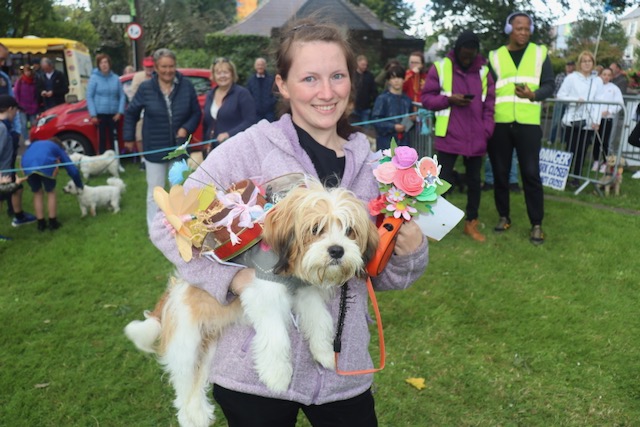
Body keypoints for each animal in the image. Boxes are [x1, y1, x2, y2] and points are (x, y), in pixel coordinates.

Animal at [122, 184, 378, 427]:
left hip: (209, 348)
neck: (288, 264)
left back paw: (199, 415)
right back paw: (188, 416)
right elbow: (276, 337)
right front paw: (277, 376)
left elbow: (320, 320)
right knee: (182, 386)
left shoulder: (305, 292)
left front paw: (324, 353)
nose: (337, 250)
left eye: (349, 230)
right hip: (187, 345)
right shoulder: (263, 294)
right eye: (316, 229)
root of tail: (172, 293)